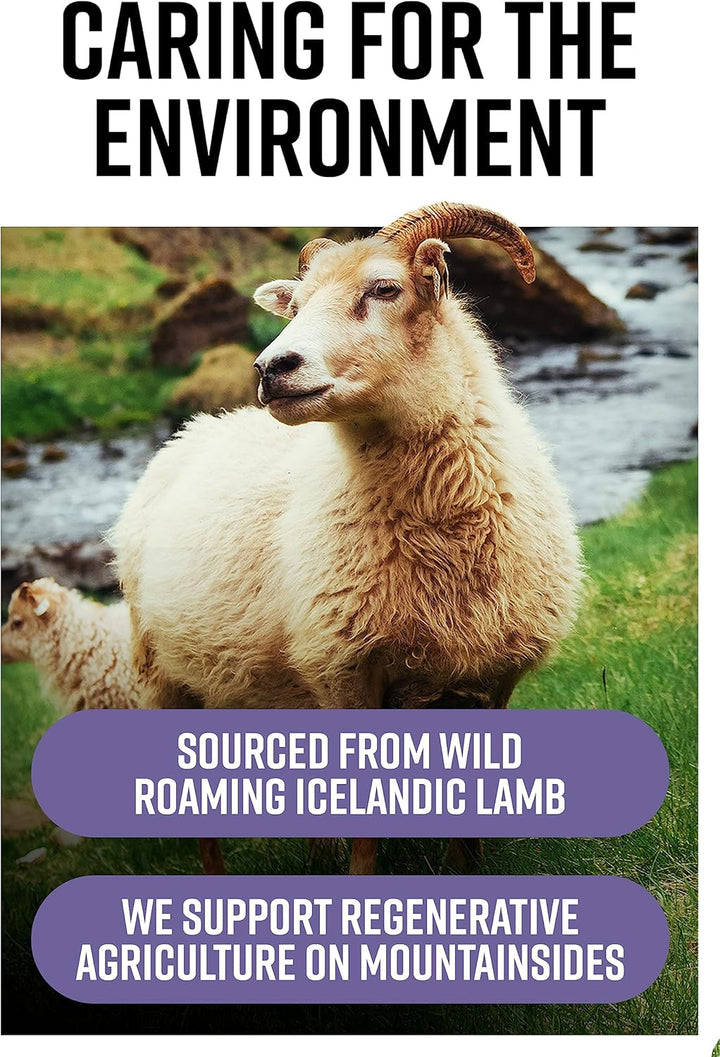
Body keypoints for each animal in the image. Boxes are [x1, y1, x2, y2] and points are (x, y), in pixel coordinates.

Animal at [112, 203, 583, 875]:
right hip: (164, 676)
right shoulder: (345, 673)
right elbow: (364, 835)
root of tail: (193, 430)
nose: (270, 368)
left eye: (384, 289)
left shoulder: (493, 679)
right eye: (297, 303)